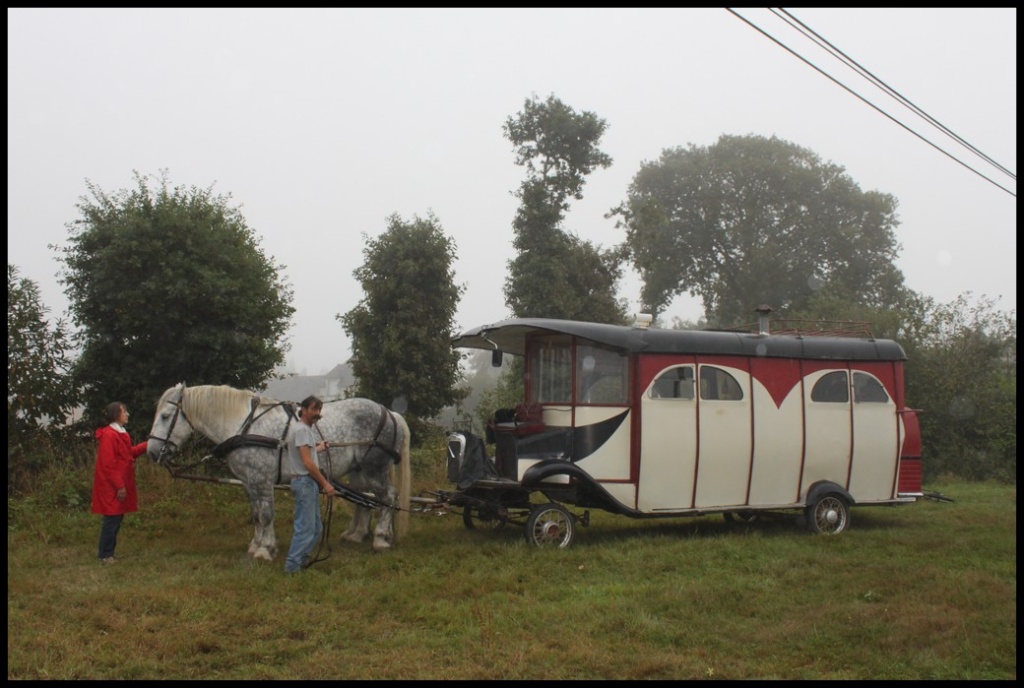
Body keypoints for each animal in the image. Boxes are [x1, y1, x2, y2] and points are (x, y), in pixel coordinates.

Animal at [146, 380, 409, 556]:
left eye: (165, 416)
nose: (151, 451)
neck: (244, 425)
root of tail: (390, 412)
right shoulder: (249, 481)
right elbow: (256, 514)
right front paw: (258, 545)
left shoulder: (261, 479)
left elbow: (265, 514)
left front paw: (265, 550)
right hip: (359, 471)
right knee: (367, 499)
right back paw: (357, 535)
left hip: (375, 468)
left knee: (388, 497)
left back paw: (381, 538)